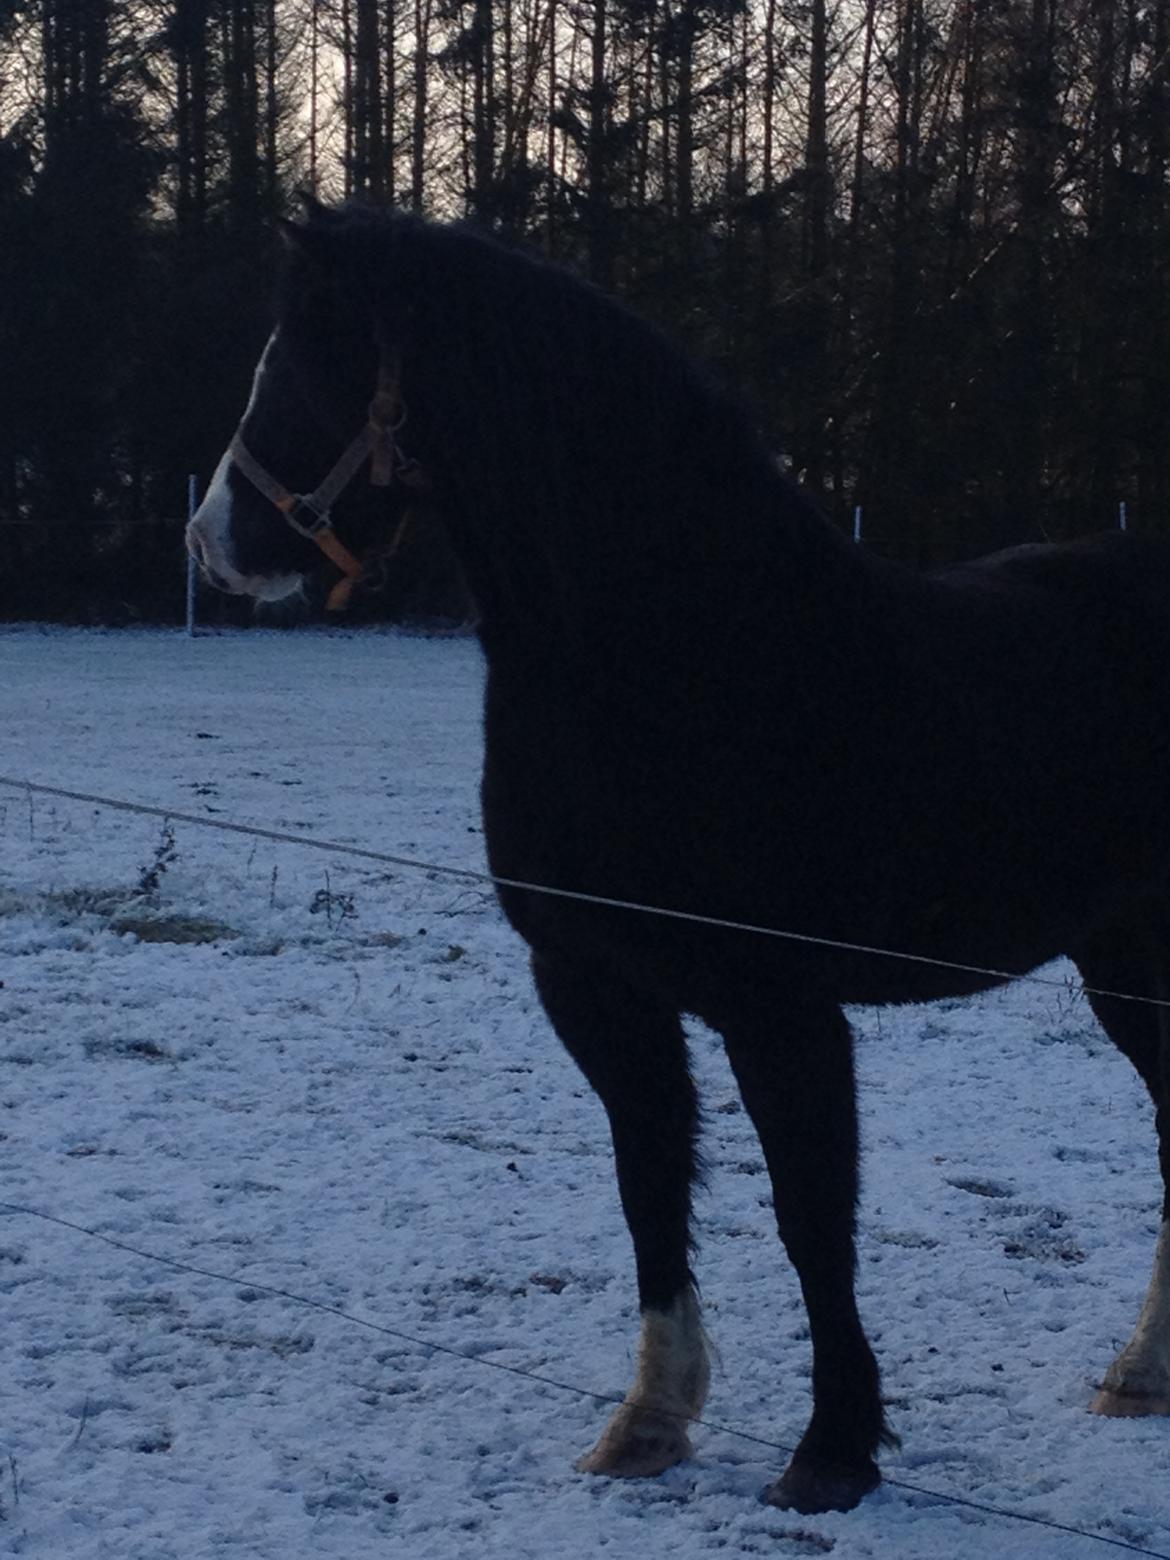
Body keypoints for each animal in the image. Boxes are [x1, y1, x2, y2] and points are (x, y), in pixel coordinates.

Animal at [186, 197, 1170, 1516]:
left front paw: (833, 1449)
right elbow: (648, 1186)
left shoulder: (781, 1004)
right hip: (1120, 958)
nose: (213, 547)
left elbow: (812, 1217)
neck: (685, 656)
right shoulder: (598, 987)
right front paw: (647, 1424)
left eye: (299, 364)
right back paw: (1141, 1372)